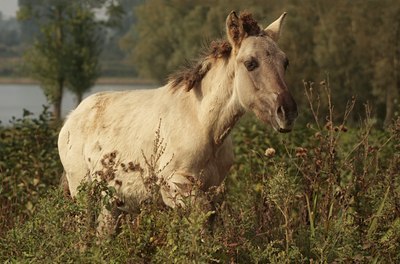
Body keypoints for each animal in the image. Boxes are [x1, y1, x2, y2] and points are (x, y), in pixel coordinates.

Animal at [58, 10, 296, 233]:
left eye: (285, 62)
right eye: (250, 63)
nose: (287, 112)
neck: (202, 123)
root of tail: (71, 118)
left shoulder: (212, 187)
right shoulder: (176, 186)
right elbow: (202, 218)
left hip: (111, 205)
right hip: (84, 195)